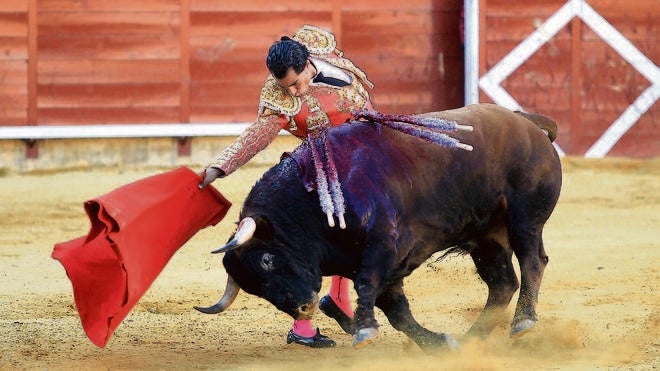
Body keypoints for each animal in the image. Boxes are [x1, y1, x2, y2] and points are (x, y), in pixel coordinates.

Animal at [195, 104, 564, 352]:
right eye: (254, 289)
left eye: (267, 259)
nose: (303, 307)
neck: (310, 200)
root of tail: (526, 122)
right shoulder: (380, 264)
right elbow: (397, 311)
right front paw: (439, 344)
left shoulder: (385, 244)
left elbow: (367, 284)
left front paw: (364, 330)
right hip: (486, 237)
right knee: (502, 283)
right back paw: (472, 338)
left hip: (525, 218)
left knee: (533, 262)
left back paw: (523, 322)